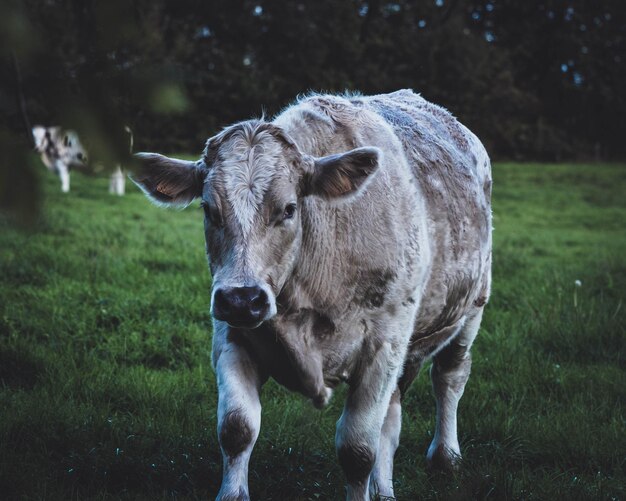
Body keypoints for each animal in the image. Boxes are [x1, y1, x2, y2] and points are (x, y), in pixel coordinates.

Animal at [133, 91, 492, 500]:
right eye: (209, 210)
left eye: (289, 209)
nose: (243, 299)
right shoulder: (231, 336)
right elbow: (237, 428)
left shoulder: (383, 345)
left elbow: (358, 449)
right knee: (393, 415)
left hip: (471, 310)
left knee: (450, 375)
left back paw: (446, 456)